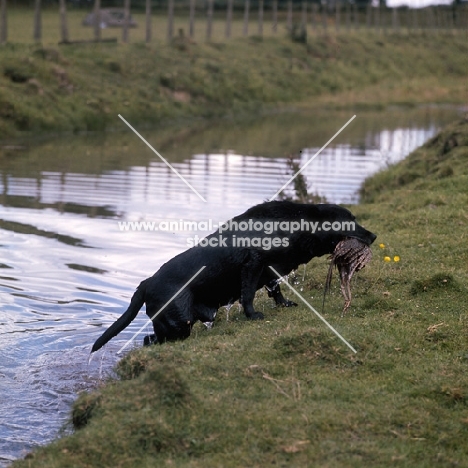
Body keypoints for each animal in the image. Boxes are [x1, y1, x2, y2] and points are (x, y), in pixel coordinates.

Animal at [91, 199, 376, 352]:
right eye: (349, 221)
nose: (374, 235)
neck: (296, 225)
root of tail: (146, 283)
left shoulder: (270, 270)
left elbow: (276, 290)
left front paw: (284, 304)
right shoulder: (253, 263)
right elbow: (247, 295)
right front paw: (253, 316)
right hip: (177, 324)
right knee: (149, 341)